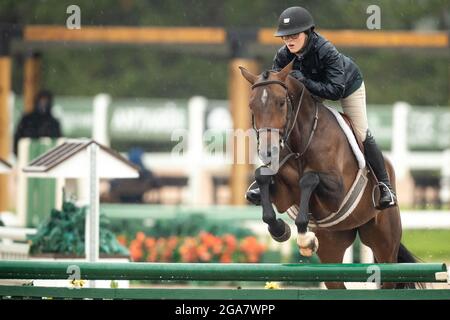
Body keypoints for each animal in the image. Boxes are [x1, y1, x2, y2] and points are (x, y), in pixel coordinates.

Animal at [239, 61, 418, 288]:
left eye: (281, 103)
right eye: (251, 106)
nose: (267, 152)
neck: (302, 142)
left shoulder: (337, 193)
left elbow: (309, 178)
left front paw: (305, 238)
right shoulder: (284, 192)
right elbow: (262, 177)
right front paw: (280, 230)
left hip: (384, 242)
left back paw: (386, 194)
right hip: (332, 244)